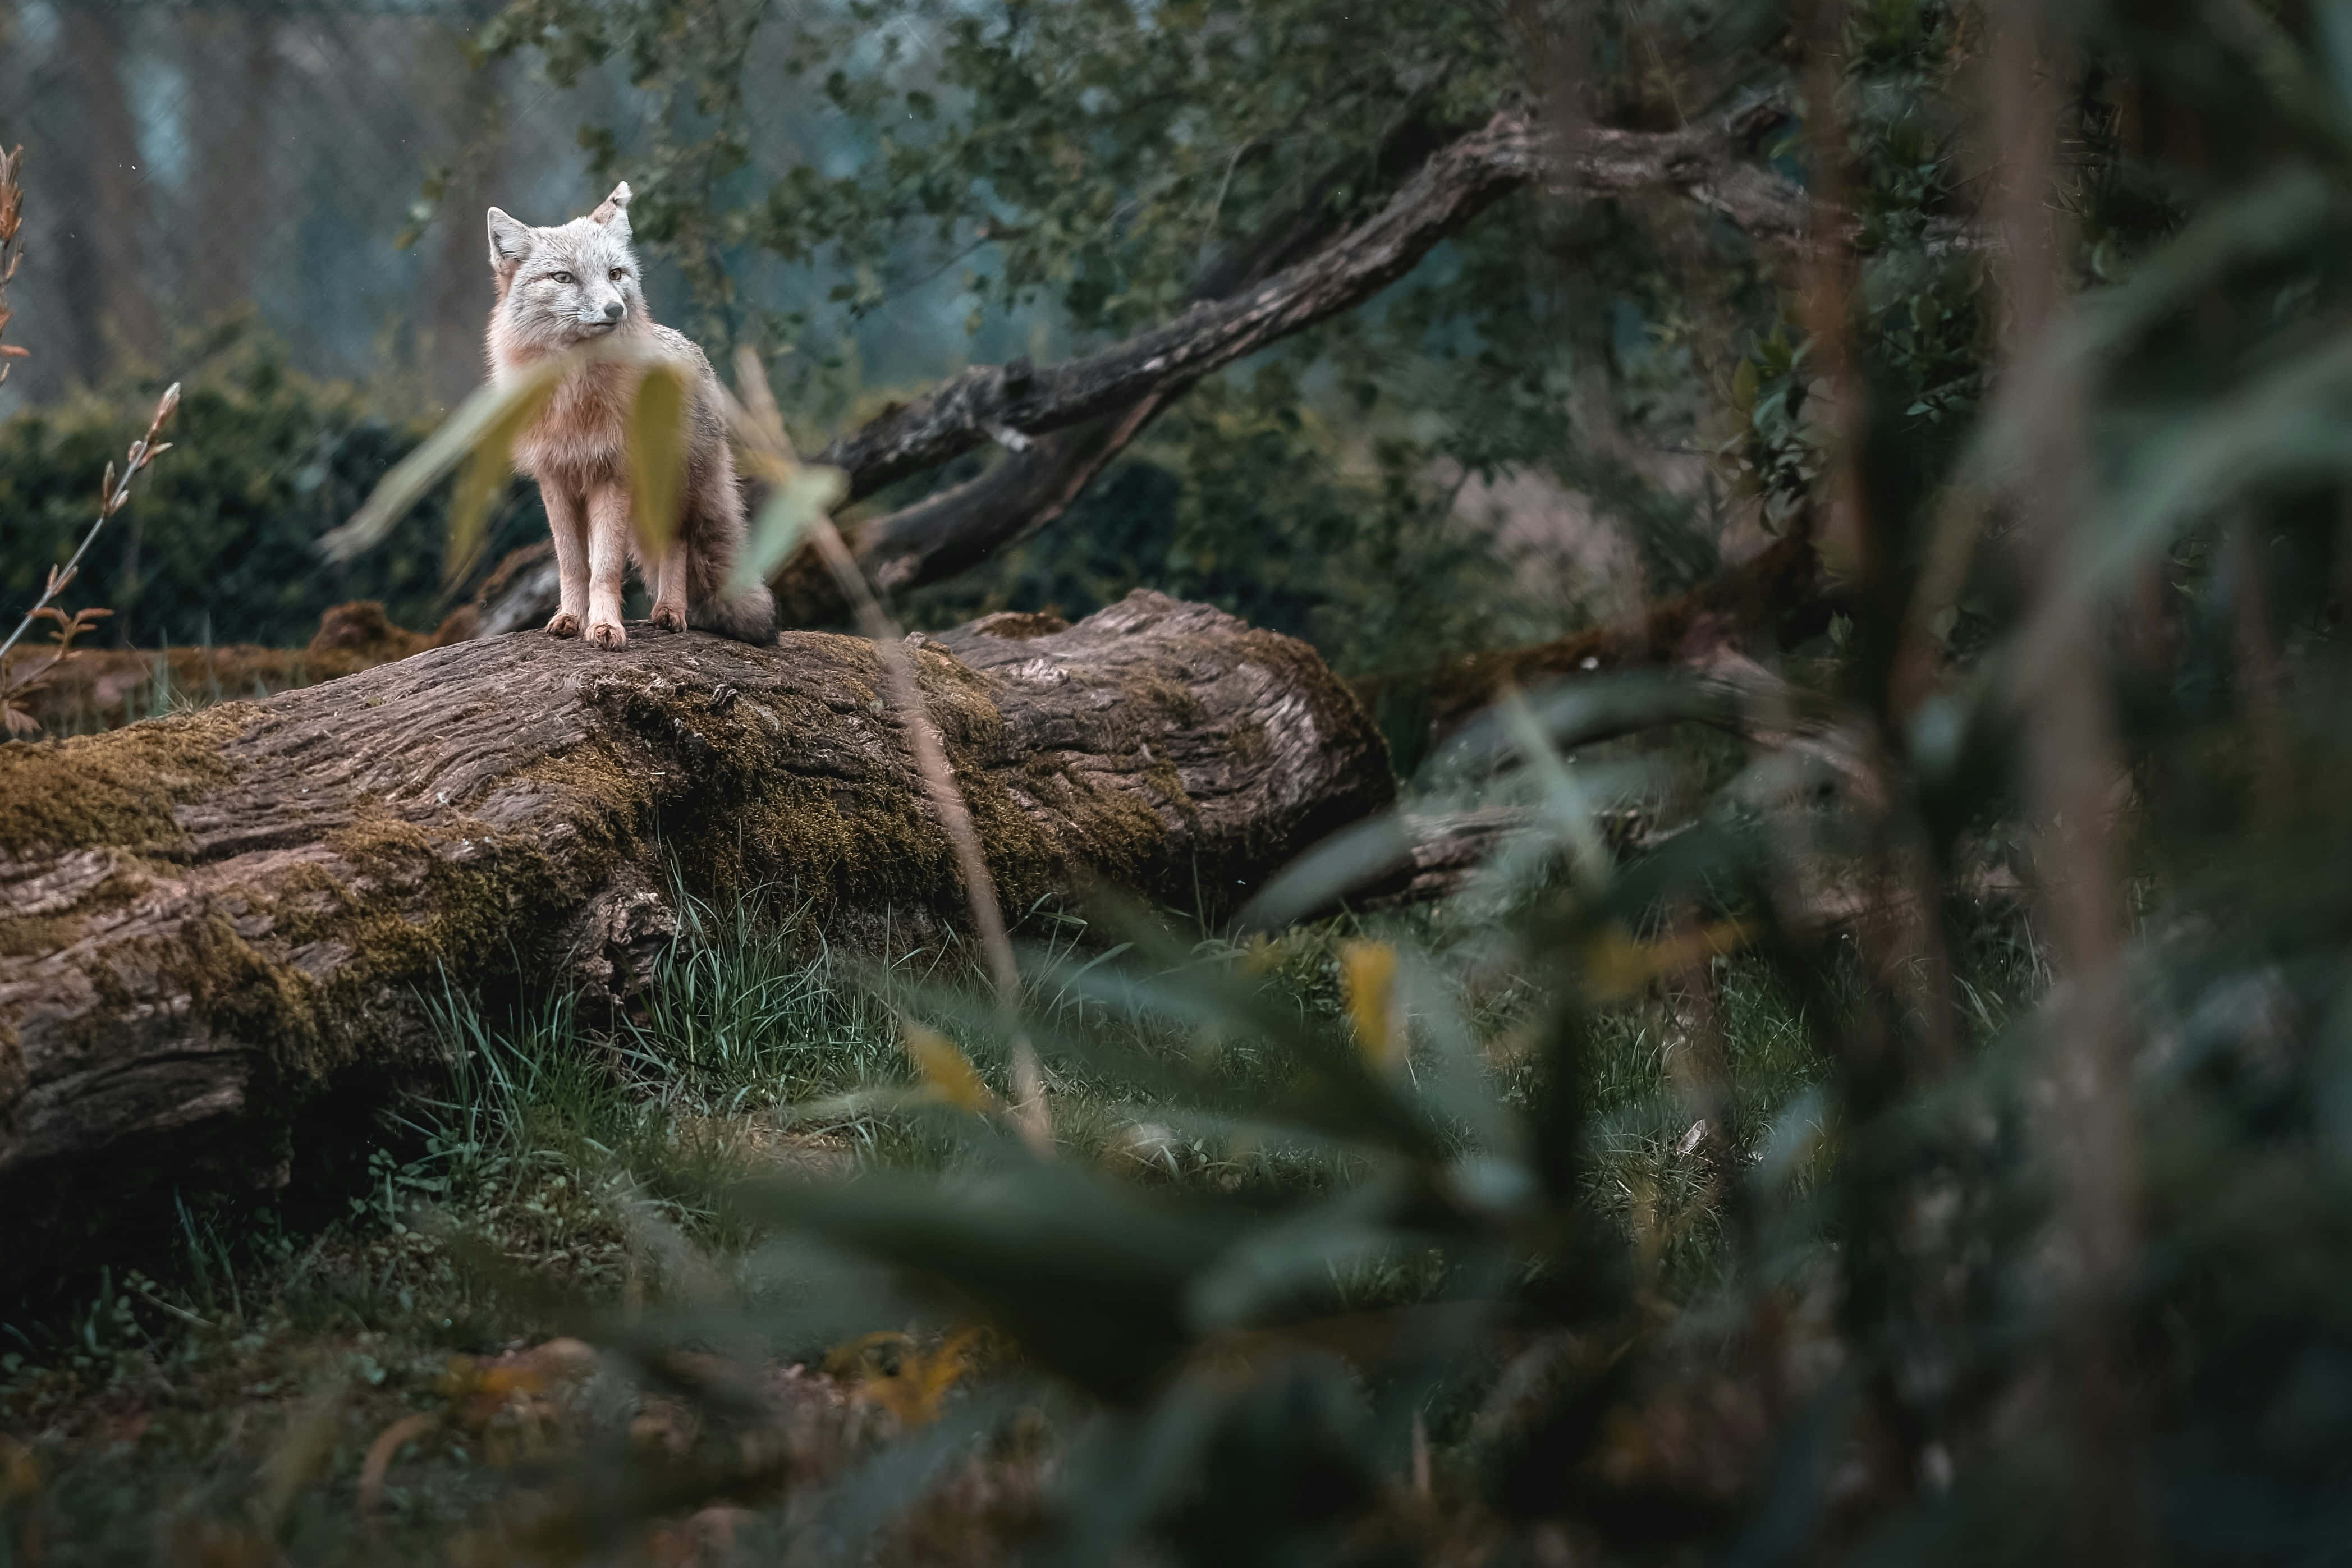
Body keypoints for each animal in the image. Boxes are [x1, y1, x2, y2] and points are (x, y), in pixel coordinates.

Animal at [484, 181, 776, 650]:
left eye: (615, 275)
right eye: (563, 278)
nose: (615, 310)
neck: (574, 400)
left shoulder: (612, 476)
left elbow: (605, 567)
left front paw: (605, 627)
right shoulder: (556, 480)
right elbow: (574, 565)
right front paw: (571, 618)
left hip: (672, 490)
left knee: (676, 546)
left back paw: (671, 611)